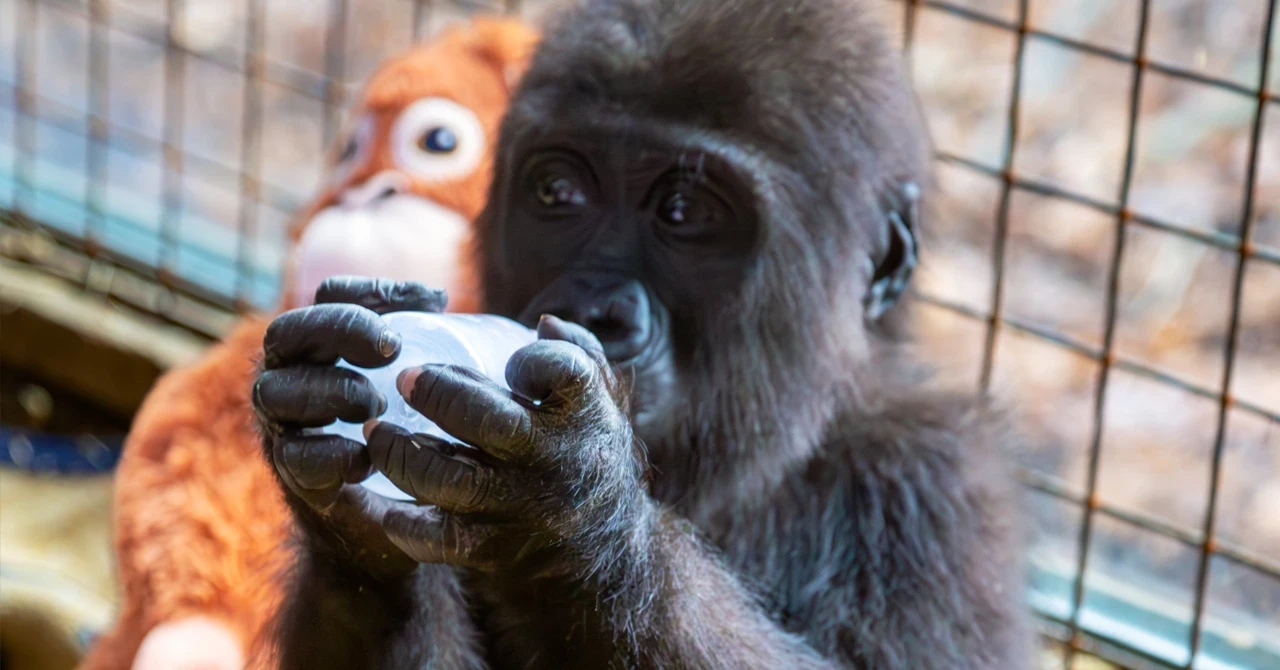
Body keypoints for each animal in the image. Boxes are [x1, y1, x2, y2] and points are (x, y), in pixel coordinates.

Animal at [254, 1, 1034, 670]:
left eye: (685, 213)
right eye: (558, 194)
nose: (595, 308)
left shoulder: (934, 487)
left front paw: (575, 516)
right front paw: (344, 529)